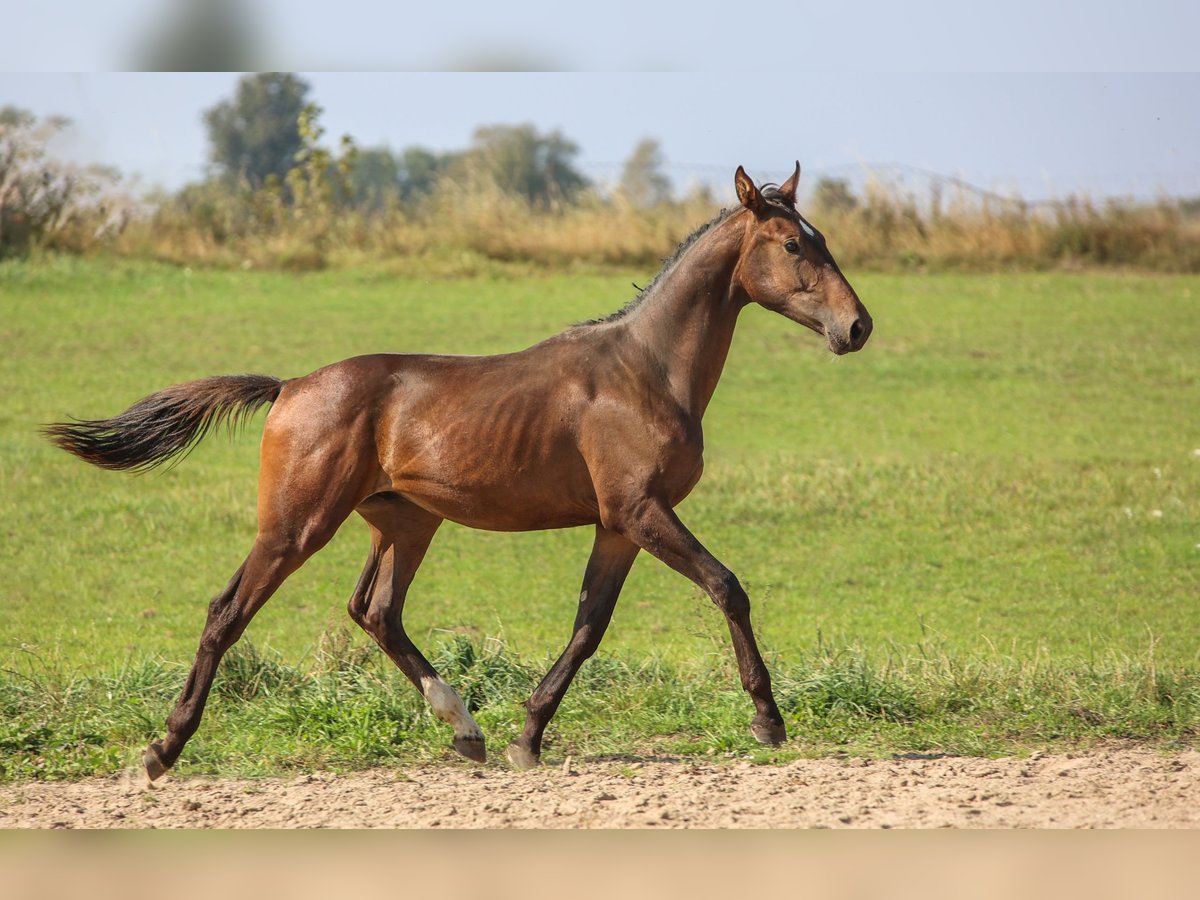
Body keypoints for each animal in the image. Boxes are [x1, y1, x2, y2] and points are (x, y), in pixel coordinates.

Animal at [44, 164, 873, 782]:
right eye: (792, 245)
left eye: (820, 238)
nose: (857, 326)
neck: (644, 370)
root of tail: (289, 388)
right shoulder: (642, 511)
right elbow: (726, 586)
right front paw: (769, 720)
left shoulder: (618, 525)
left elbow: (588, 626)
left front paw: (527, 737)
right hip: (296, 524)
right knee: (229, 611)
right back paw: (162, 749)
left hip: (406, 520)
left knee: (375, 611)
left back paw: (463, 727)